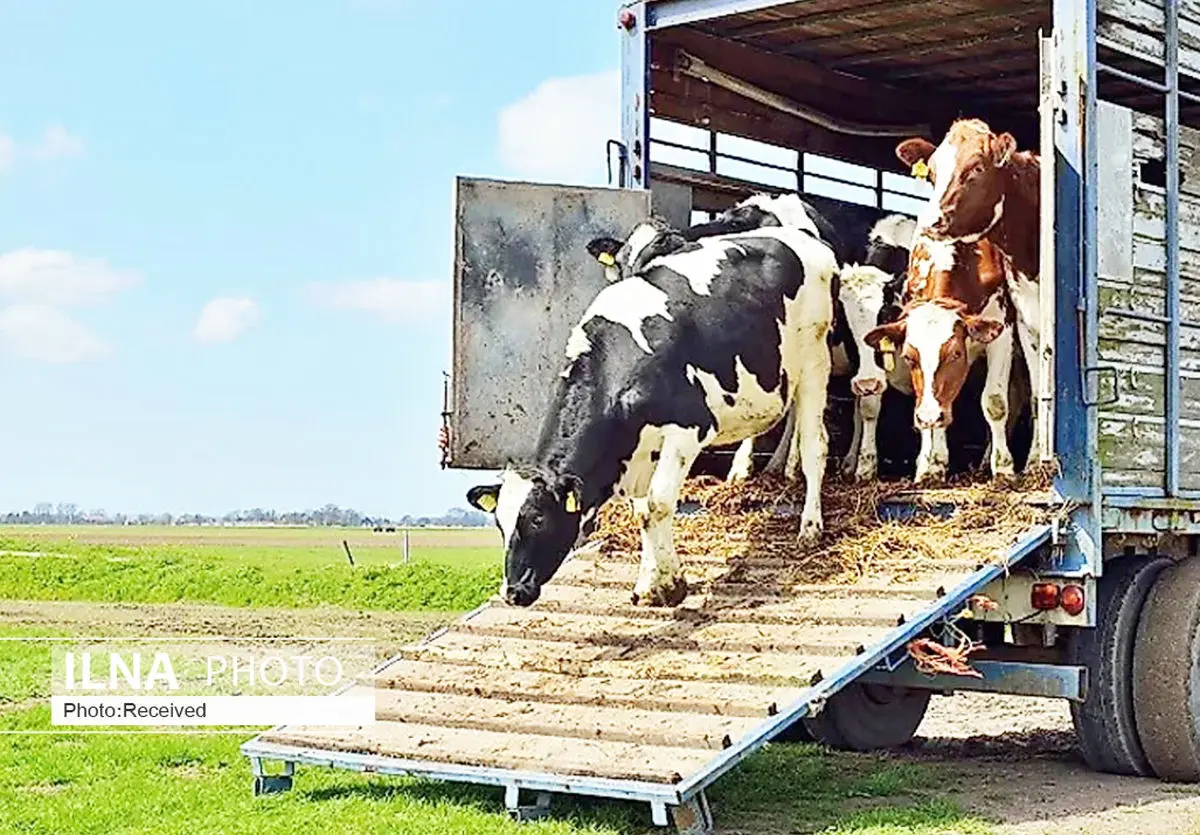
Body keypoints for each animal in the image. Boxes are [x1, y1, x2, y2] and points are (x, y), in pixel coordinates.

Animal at [463, 214, 840, 607]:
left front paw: (672, 585)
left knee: (815, 445)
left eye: (537, 519)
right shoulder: (640, 449)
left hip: (815, 360)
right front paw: (649, 582)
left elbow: (658, 504)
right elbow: (642, 510)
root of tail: (806, 240)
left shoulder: (687, 429)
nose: (512, 592)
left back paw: (810, 526)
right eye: (500, 523)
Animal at [892, 117, 1041, 455]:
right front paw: (930, 460)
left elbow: (996, 401)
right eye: (932, 174)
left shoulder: (1004, 326)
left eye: (976, 168)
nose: (933, 222)